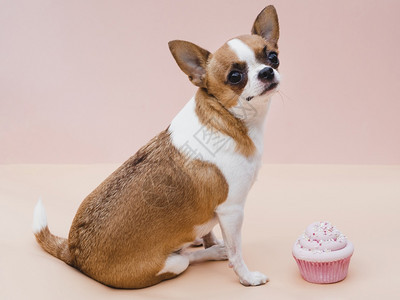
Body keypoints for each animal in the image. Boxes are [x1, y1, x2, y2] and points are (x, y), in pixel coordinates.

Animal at [32, 5, 282, 288]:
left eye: (273, 57)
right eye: (235, 76)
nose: (267, 72)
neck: (228, 117)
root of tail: (74, 253)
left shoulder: (217, 213)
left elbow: (210, 229)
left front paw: (211, 242)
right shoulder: (232, 211)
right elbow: (236, 251)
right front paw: (246, 277)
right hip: (172, 264)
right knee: (186, 259)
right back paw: (213, 252)